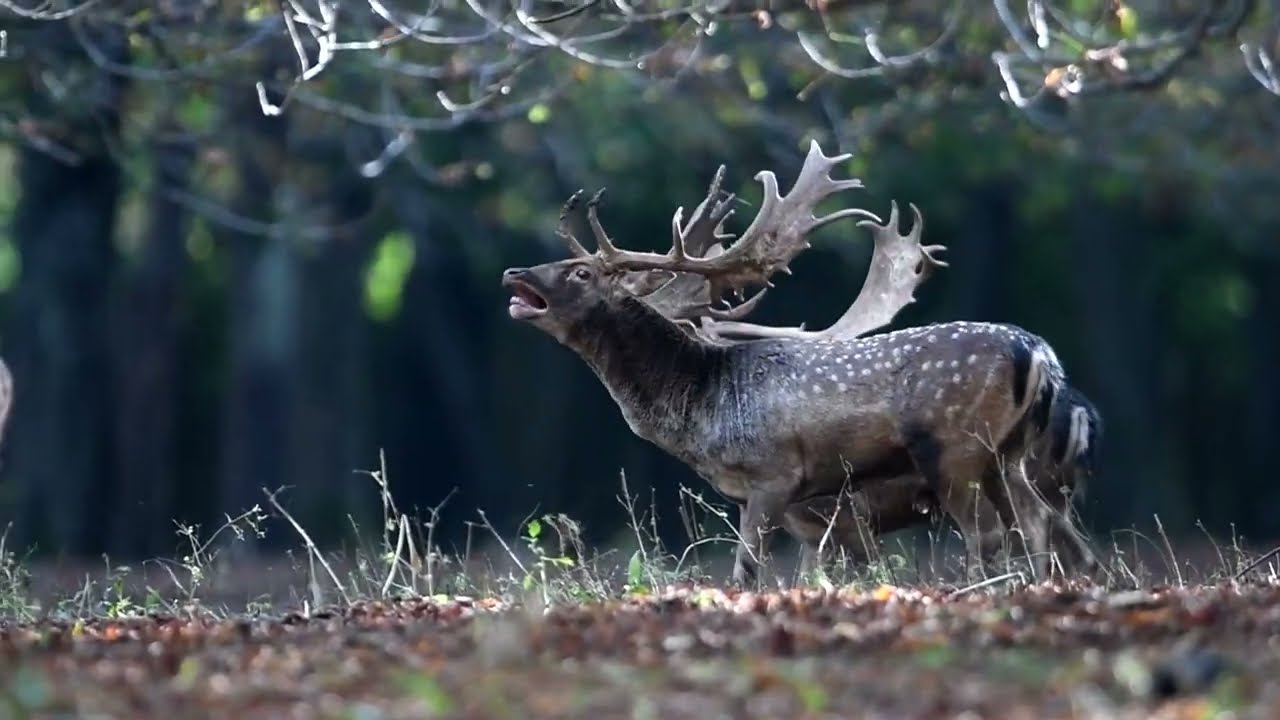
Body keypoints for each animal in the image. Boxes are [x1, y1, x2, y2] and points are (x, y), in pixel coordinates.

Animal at [502, 140, 1094, 585]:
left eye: (582, 272)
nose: (514, 273)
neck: (702, 407)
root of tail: (1038, 354)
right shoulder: (770, 502)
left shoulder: (778, 477)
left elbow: (746, 569)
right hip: (1008, 456)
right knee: (1041, 524)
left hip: (955, 447)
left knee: (990, 532)